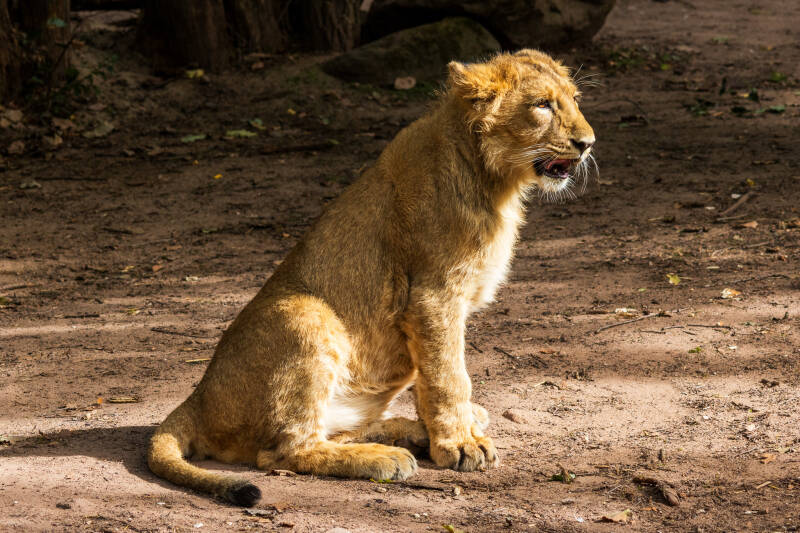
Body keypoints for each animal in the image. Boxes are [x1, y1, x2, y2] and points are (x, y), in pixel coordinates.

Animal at [147, 49, 596, 506]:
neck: (493, 178)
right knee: (284, 451)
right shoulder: (434, 296)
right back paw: (386, 457)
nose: (588, 143)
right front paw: (460, 444)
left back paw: (408, 433)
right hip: (305, 314)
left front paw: (449, 431)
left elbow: (433, 378)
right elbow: (449, 375)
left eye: (574, 99)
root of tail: (197, 398)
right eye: (542, 105)